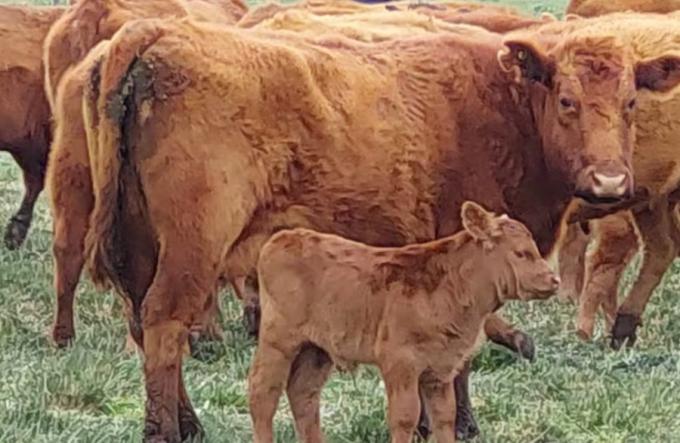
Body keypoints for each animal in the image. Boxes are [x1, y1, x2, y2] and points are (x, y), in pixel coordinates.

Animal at [250, 202, 556, 443]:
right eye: (521, 253)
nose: (554, 279)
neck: (453, 285)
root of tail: (284, 237)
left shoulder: (440, 370)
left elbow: (444, 417)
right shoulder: (400, 363)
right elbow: (405, 416)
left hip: (317, 350)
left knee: (303, 394)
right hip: (278, 341)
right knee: (263, 393)